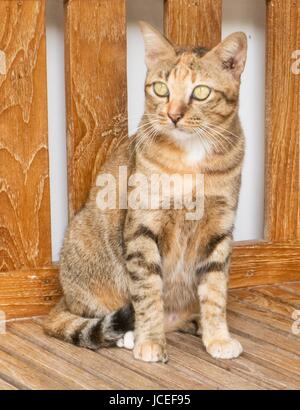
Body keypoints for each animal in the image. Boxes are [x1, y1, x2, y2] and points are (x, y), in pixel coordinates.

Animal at [44, 21, 246, 362]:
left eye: (201, 92)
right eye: (161, 89)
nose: (174, 115)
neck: (191, 157)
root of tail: (64, 299)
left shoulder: (219, 229)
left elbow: (216, 291)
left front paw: (218, 336)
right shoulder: (143, 226)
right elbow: (149, 291)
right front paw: (150, 341)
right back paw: (130, 335)